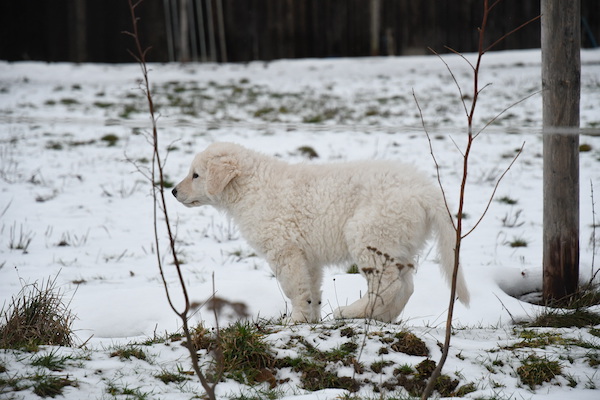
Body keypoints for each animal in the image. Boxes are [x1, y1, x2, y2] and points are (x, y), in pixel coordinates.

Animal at [171, 142, 472, 324]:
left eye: (196, 175)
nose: (173, 191)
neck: (250, 188)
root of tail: (426, 190)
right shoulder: (307, 255)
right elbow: (311, 287)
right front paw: (311, 317)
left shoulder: (284, 250)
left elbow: (293, 287)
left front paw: (295, 320)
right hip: (398, 241)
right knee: (406, 285)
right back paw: (382, 317)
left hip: (369, 233)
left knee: (388, 284)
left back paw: (353, 312)